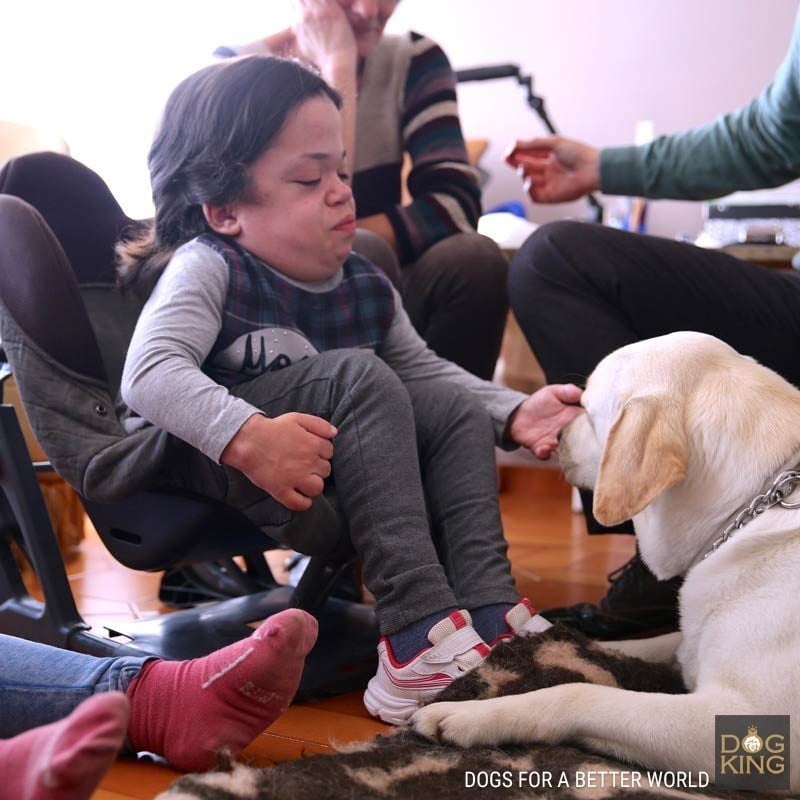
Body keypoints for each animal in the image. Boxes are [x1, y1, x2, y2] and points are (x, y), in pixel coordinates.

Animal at [416, 332, 800, 788]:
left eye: (585, 409)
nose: (557, 433)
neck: (755, 501)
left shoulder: (742, 722)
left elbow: (580, 694)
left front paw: (470, 714)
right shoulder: (681, 642)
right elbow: (627, 645)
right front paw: (537, 643)